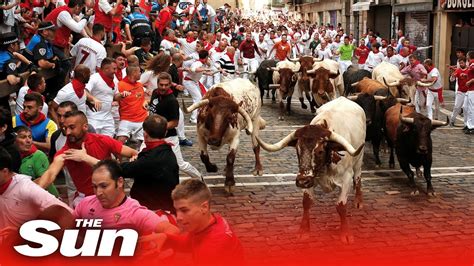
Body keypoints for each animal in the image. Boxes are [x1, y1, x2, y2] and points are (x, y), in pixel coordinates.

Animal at [258, 97, 364, 243]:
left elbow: (341, 206)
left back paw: (358, 201)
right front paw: (304, 230)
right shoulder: (310, 179)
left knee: (358, 178)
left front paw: (345, 233)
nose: (302, 181)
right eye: (297, 150)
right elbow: (307, 202)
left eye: (320, 151)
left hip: (358, 161)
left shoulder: (346, 178)